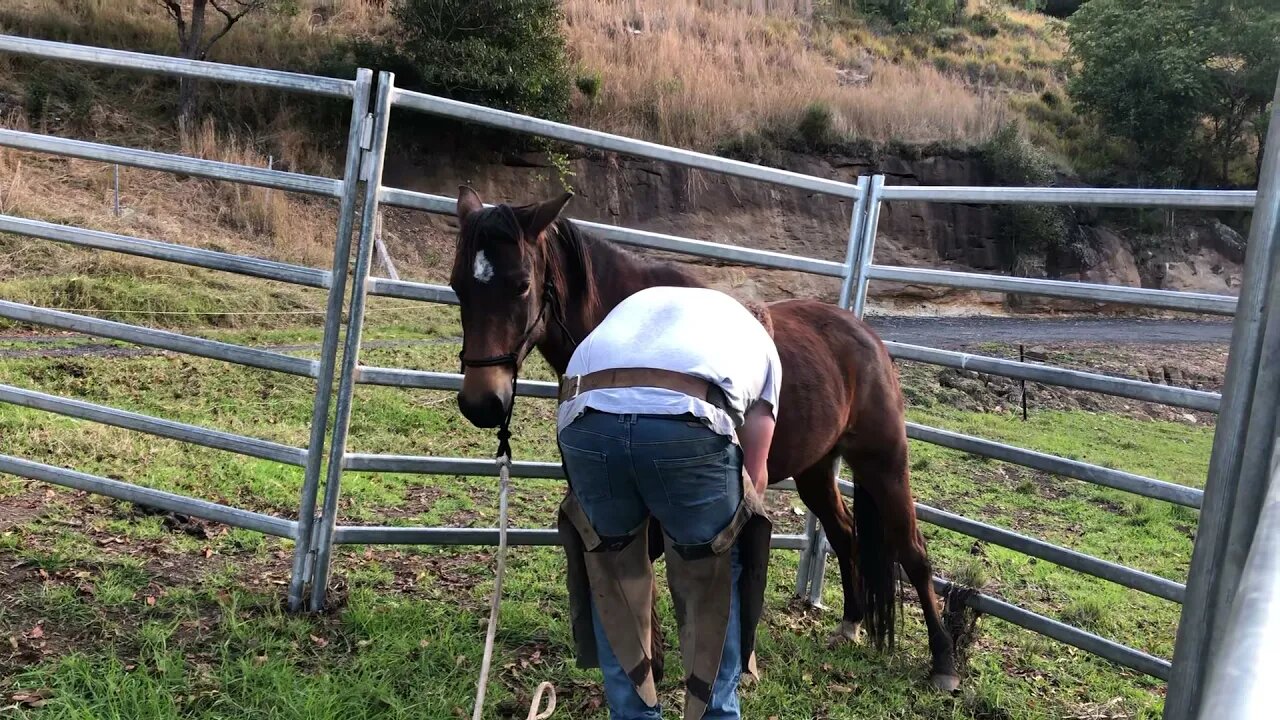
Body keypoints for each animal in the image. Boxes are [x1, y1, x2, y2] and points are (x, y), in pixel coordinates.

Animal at [445, 184, 957, 691]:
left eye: (521, 285)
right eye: (457, 286)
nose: (481, 402)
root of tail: (867, 336)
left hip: (884, 462)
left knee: (913, 552)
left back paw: (944, 664)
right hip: (816, 471)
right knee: (845, 533)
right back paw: (851, 624)